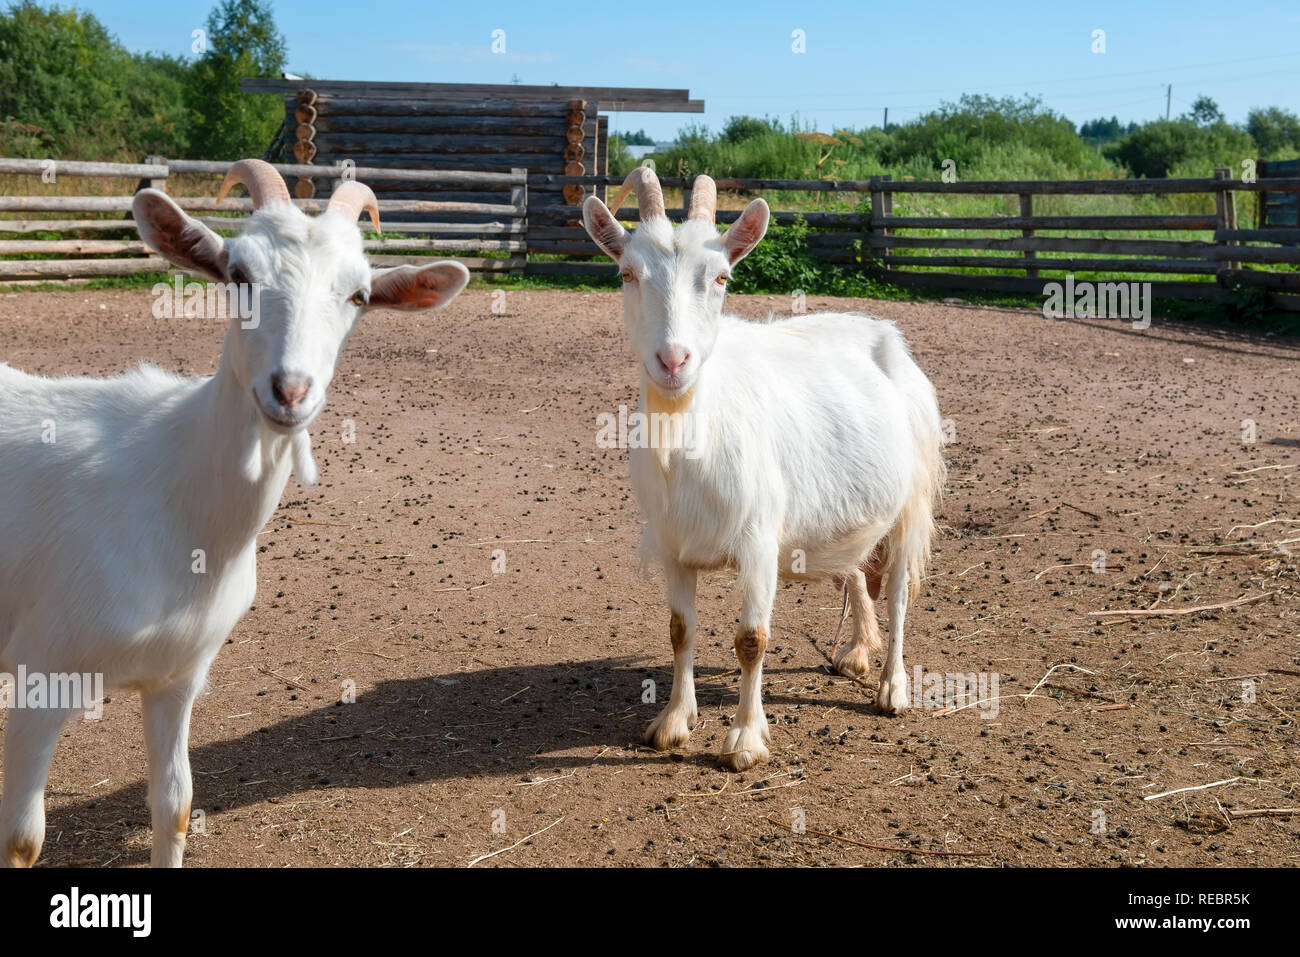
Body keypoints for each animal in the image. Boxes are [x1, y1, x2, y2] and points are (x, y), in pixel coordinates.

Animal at [0, 158, 467, 868]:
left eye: (358, 295)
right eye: (240, 274)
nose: (290, 391)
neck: (175, 498)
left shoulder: (178, 675)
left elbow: (175, 806)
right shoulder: (40, 671)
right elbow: (23, 839)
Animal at [582, 170, 946, 769]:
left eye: (721, 277)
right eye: (628, 274)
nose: (673, 361)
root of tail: (885, 333)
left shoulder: (757, 541)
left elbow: (752, 639)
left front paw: (746, 742)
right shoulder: (673, 542)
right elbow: (680, 630)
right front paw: (673, 722)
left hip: (910, 501)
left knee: (896, 592)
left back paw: (892, 688)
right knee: (855, 570)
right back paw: (855, 652)